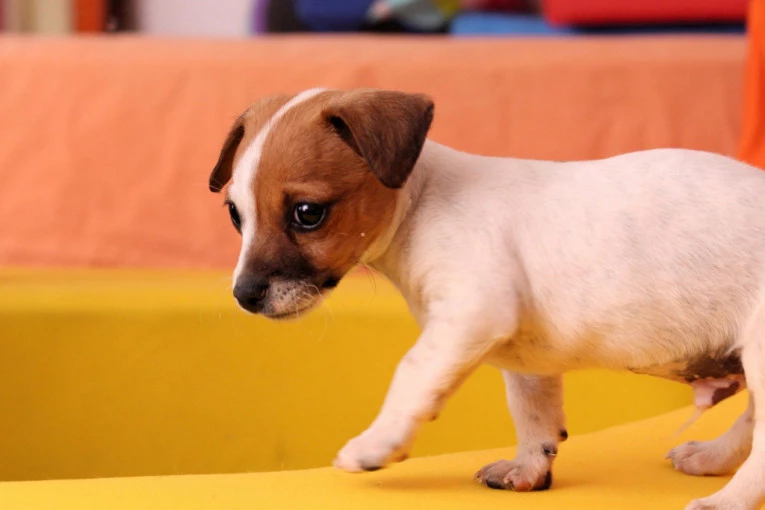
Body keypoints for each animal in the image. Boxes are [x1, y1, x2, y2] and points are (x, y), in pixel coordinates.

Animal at [208, 87, 765, 510]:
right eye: (235, 214)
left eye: (308, 213)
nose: (244, 296)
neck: (423, 201)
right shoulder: (526, 355)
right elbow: (533, 412)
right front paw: (529, 468)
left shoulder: (472, 312)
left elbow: (411, 372)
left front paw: (377, 443)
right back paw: (713, 457)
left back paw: (726, 500)